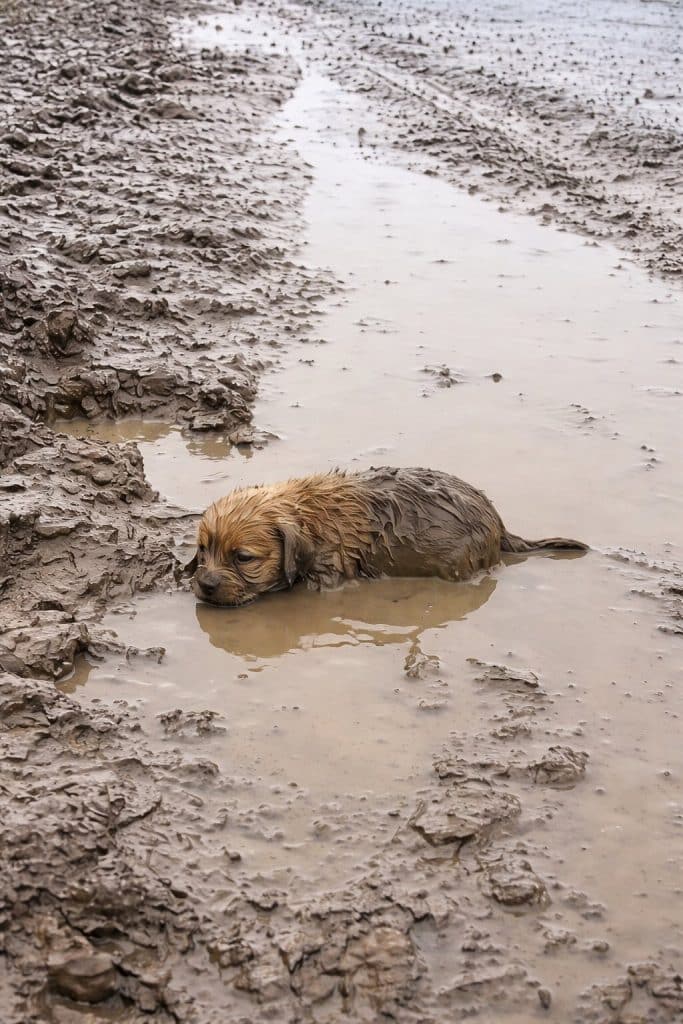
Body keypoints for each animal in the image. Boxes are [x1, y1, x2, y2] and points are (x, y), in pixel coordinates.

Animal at [188, 466, 587, 607]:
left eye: (243, 558)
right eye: (203, 549)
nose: (205, 584)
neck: (310, 515)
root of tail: (500, 527)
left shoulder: (328, 572)